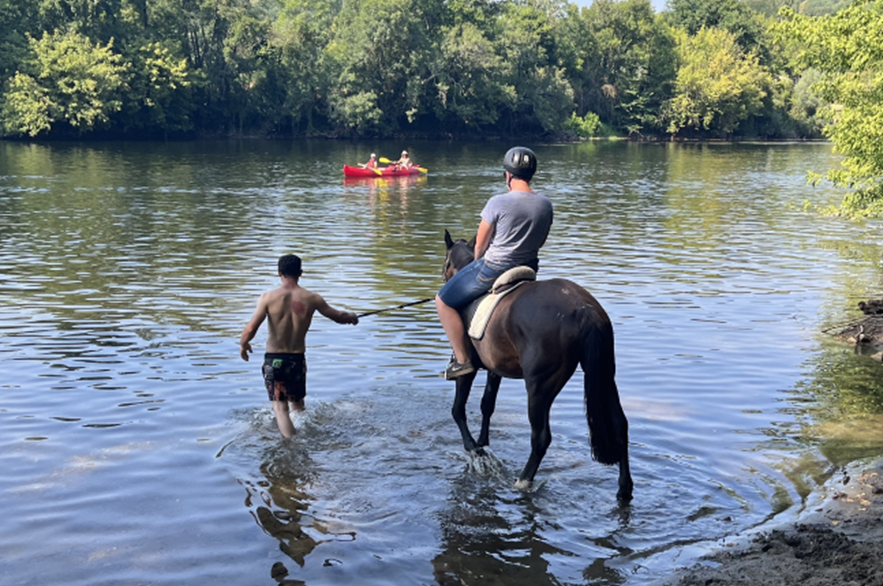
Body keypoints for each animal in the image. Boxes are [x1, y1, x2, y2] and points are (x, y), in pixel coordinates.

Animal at [446, 230, 632, 500]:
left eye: (445, 263)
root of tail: (583, 309)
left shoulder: (467, 368)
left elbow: (458, 408)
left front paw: (473, 447)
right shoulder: (495, 369)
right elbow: (487, 404)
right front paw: (482, 443)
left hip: (540, 387)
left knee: (541, 438)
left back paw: (523, 481)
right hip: (605, 374)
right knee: (620, 425)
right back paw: (624, 489)